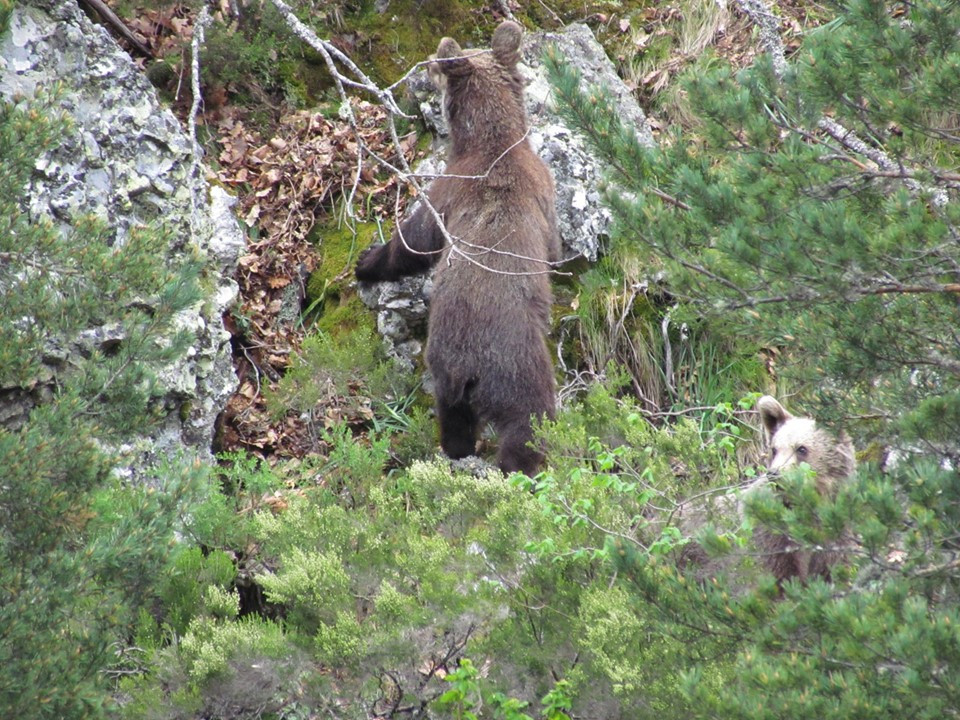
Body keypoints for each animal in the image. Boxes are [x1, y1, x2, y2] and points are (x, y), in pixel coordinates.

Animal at [356, 19, 560, 476]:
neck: (492, 143)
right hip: (505, 369)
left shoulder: (456, 191)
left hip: (453, 375)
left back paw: (470, 455)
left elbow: (416, 238)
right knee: (521, 422)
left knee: (464, 424)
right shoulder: (474, 190)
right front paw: (368, 261)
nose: (427, 66)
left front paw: (366, 259)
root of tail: (471, 368)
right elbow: (416, 239)